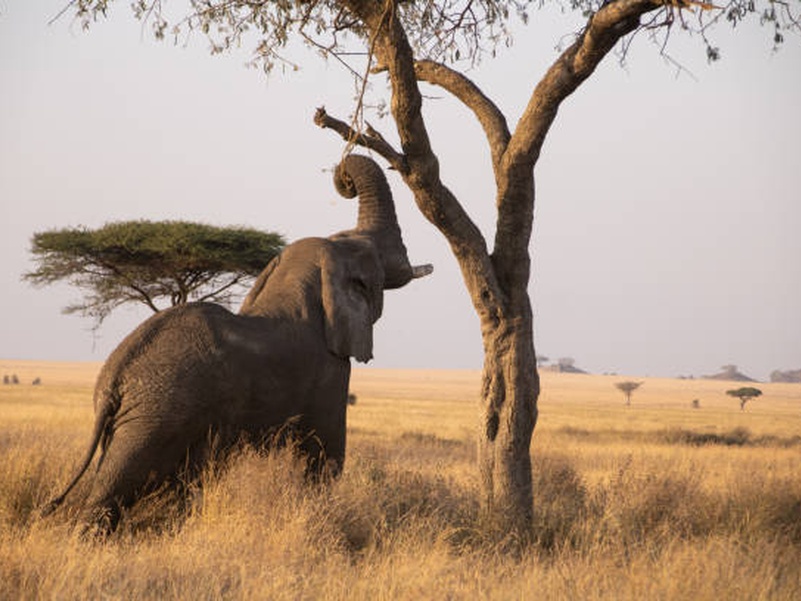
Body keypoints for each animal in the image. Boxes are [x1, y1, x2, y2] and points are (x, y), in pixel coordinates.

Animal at [42, 154, 432, 535]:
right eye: (375, 263)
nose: (344, 179)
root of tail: (114, 380)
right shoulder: (329, 371)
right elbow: (325, 454)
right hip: (157, 413)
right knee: (121, 480)